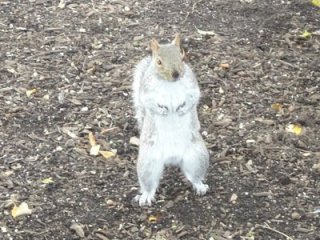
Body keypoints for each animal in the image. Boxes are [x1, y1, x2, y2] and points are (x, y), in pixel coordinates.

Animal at [131, 33, 209, 206]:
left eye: (182, 55)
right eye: (158, 61)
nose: (176, 74)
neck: (169, 84)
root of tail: (172, 159)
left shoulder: (192, 86)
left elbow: (194, 97)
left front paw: (182, 109)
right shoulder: (147, 92)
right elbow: (148, 102)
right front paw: (163, 110)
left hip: (197, 157)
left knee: (194, 176)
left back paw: (200, 186)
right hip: (148, 164)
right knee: (149, 184)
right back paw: (146, 196)